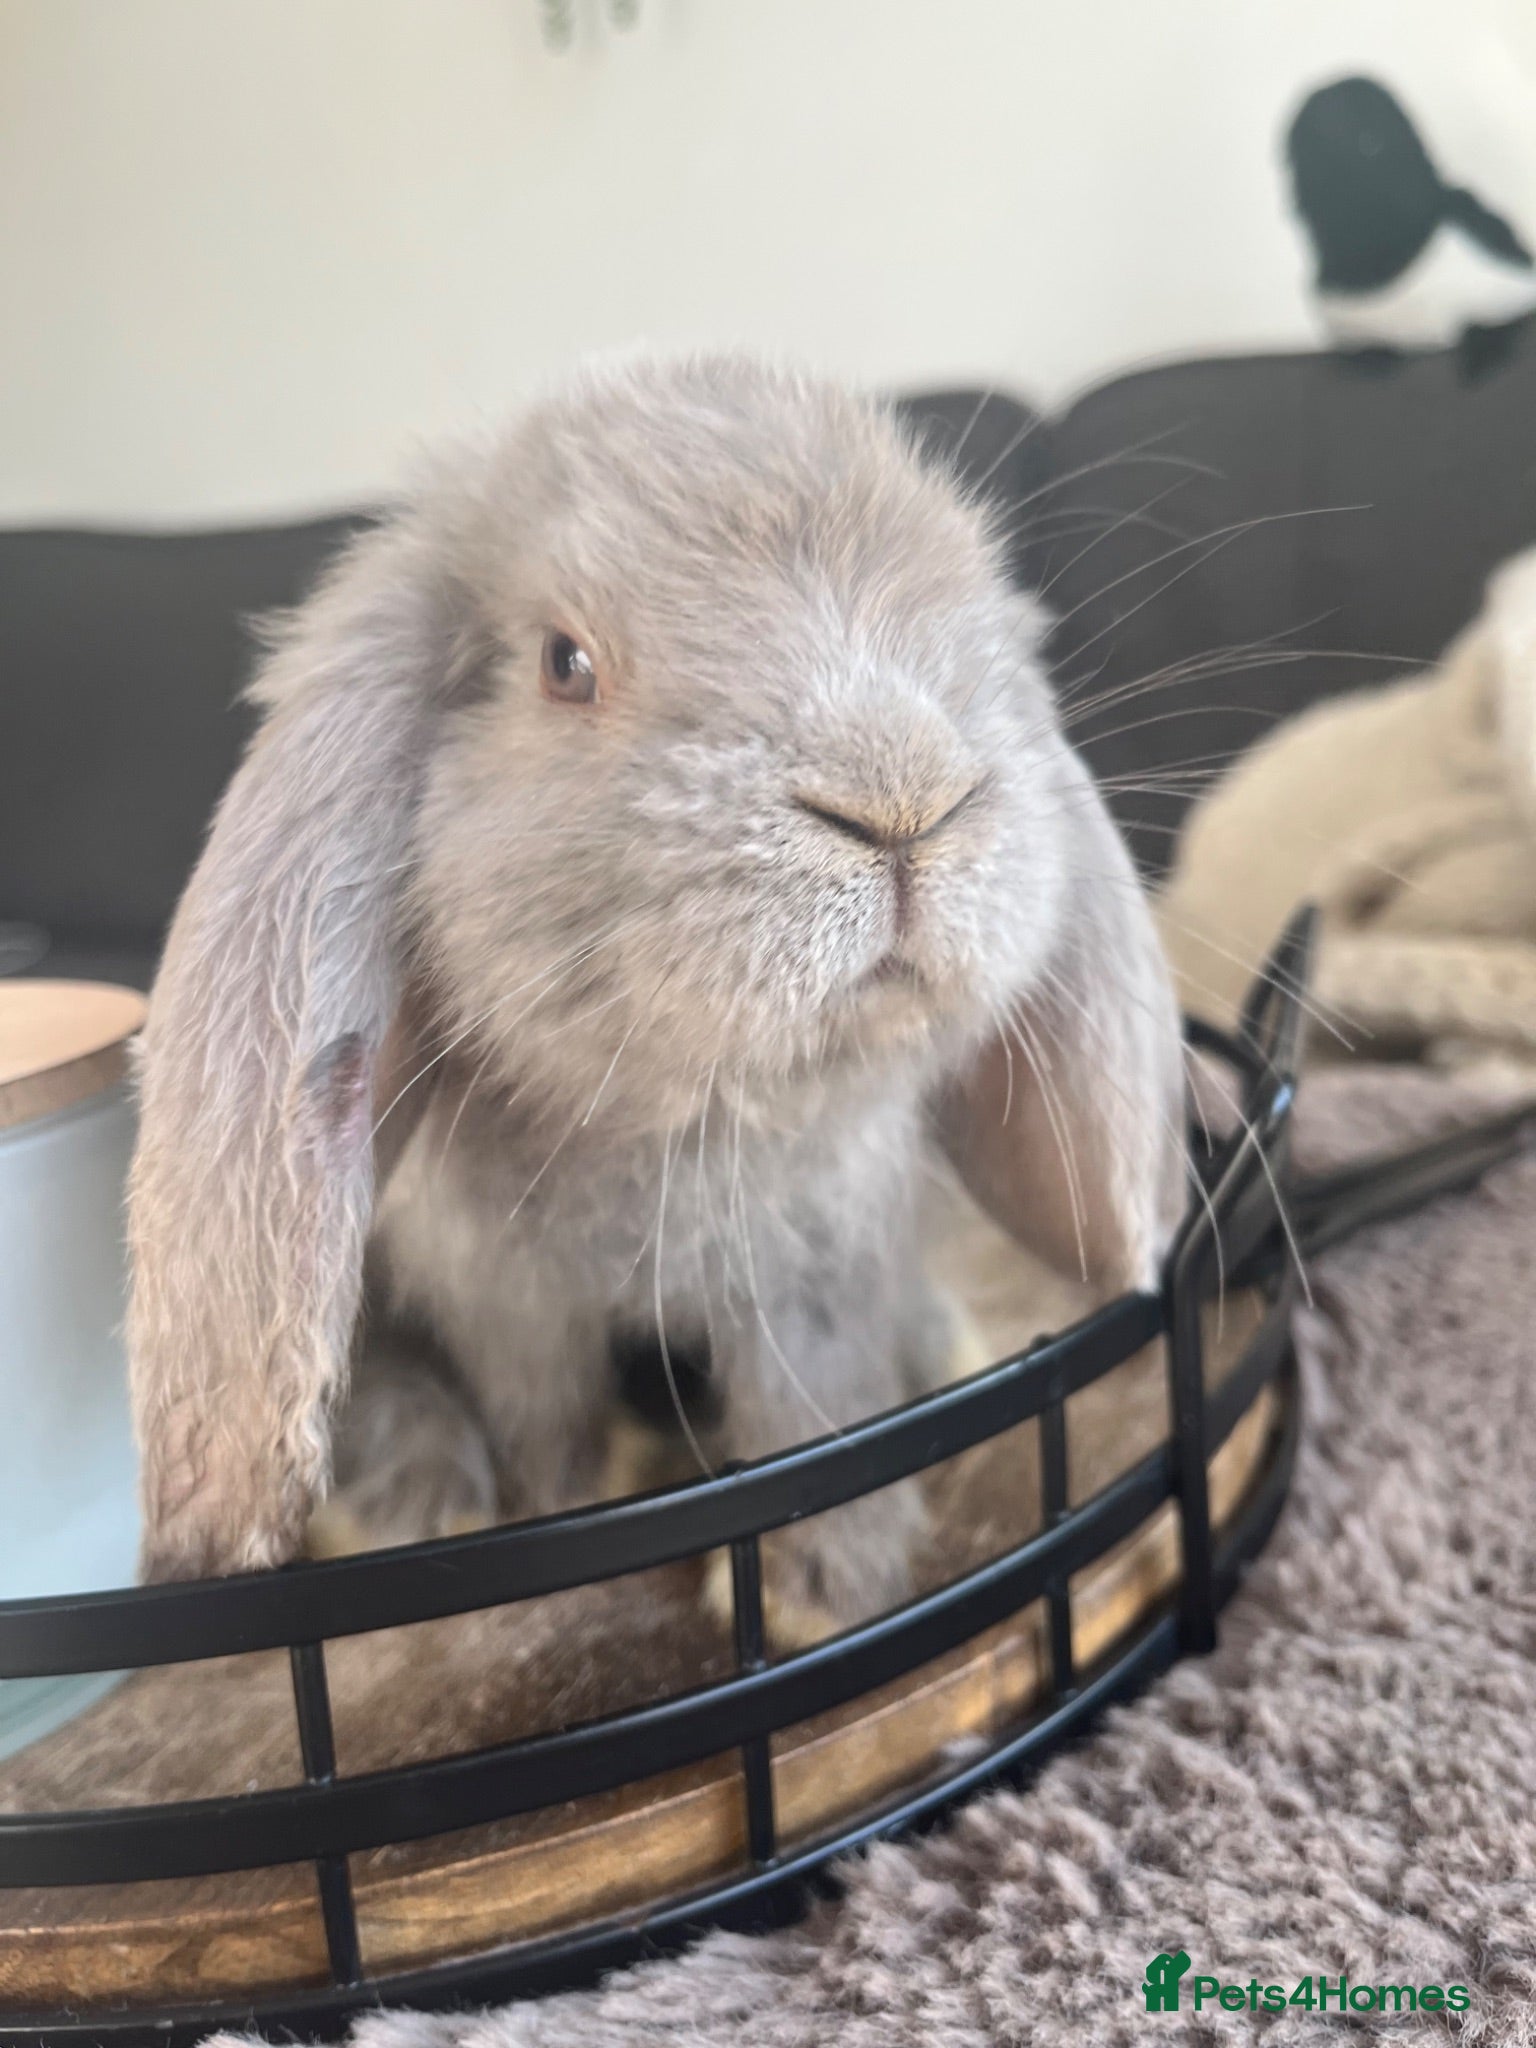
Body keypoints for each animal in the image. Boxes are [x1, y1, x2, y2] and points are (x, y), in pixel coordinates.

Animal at [127, 351, 1186, 1631]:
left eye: (978, 625)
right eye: (564, 664)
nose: (901, 801)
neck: (687, 1120)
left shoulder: (813, 1283)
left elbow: (818, 1417)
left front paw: (827, 1587)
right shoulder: (512, 1308)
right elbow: (548, 1421)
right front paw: (562, 1520)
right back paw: (419, 1495)